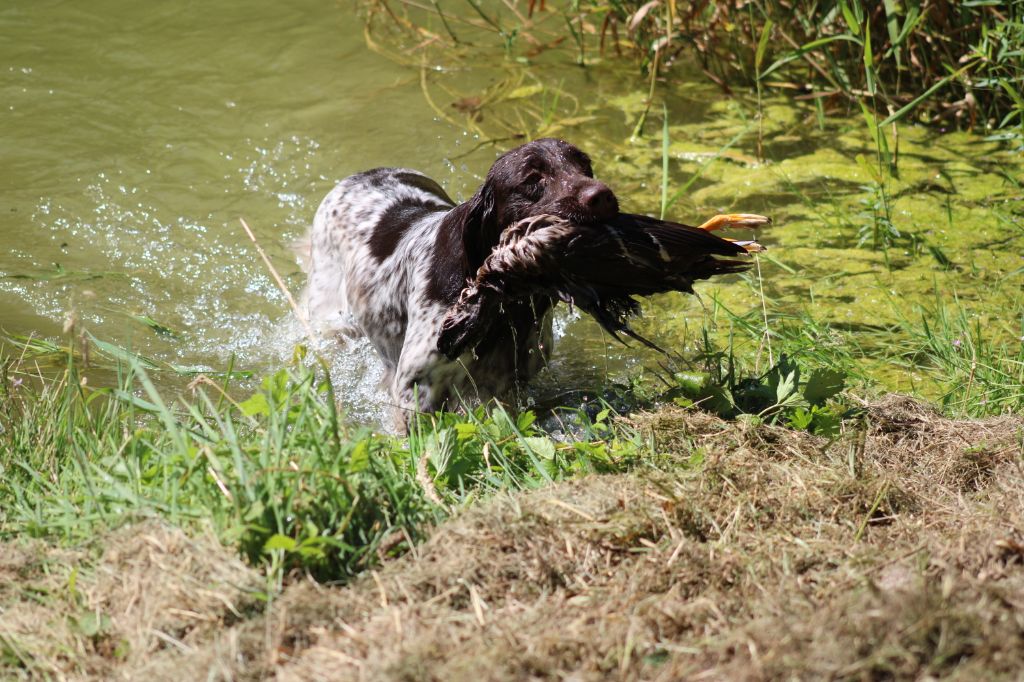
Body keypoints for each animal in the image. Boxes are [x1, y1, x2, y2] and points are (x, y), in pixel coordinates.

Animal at [303, 137, 614, 425]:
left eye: (584, 165)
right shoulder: (415, 390)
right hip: (332, 321)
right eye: (532, 178)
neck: (508, 309)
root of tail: (363, 174)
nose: (602, 196)